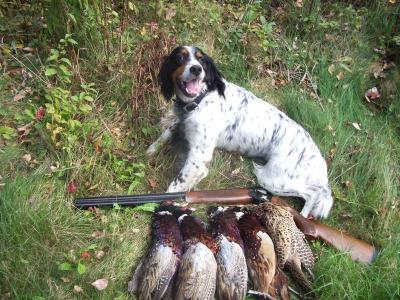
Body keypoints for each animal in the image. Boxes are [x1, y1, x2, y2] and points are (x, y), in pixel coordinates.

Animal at [148, 45, 332, 218]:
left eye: (202, 61)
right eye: (180, 57)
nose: (196, 69)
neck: (201, 99)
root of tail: (318, 160)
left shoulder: (198, 158)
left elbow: (176, 186)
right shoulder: (183, 122)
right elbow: (168, 131)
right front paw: (152, 149)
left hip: (273, 178)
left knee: (314, 193)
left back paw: (302, 216)